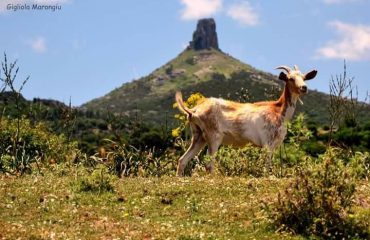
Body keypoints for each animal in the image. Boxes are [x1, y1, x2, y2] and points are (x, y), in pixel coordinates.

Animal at [175, 64, 316, 175]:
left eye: (304, 77)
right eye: (291, 78)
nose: (304, 87)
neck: (278, 111)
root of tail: (194, 111)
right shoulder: (268, 143)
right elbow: (266, 167)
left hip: (199, 136)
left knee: (182, 160)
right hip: (213, 136)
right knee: (209, 165)